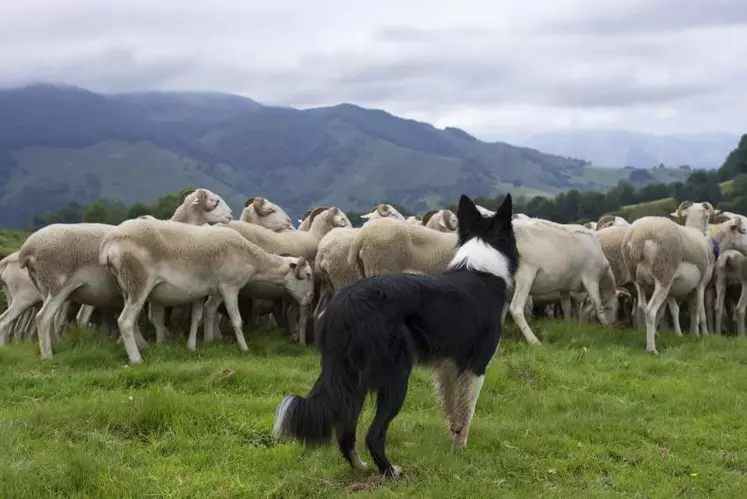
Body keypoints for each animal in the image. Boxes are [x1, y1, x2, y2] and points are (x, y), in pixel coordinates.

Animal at [99, 220, 312, 364]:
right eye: (309, 275)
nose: (309, 301)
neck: (252, 259)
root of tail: (108, 245)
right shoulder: (229, 286)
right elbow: (237, 320)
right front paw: (244, 349)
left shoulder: (202, 290)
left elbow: (198, 317)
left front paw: (192, 347)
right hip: (139, 281)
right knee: (125, 321)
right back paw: (136, 359)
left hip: (125, 286)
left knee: (131, 321)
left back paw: (142, 347)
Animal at [272, 193, 516, 478]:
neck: (481, 263)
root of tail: (347, 304)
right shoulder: (476, 365)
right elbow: (466, 410)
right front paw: (461, 448)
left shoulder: (446, 366)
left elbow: (451, 407)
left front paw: (453, 444)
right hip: (396, 378)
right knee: (373, 434)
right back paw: (390, 471)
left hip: (353, 378)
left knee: (346, 429)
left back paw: (361, 466)